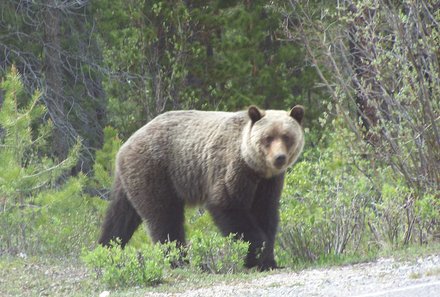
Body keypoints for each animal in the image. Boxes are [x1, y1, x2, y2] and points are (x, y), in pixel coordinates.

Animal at [99, 105, 306, 270]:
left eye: (286, 137)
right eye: (268, 137)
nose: (279, 158)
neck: (256, 169)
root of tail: (126, 143)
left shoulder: (268, 183)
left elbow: (266, 214)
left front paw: (269, 260)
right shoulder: (232, 169)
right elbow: (228, 206)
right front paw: (257, 255)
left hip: (129, 179)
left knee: (120, 216)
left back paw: (106, 251)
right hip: (156, 171)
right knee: (164, 217)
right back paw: (179, 261)